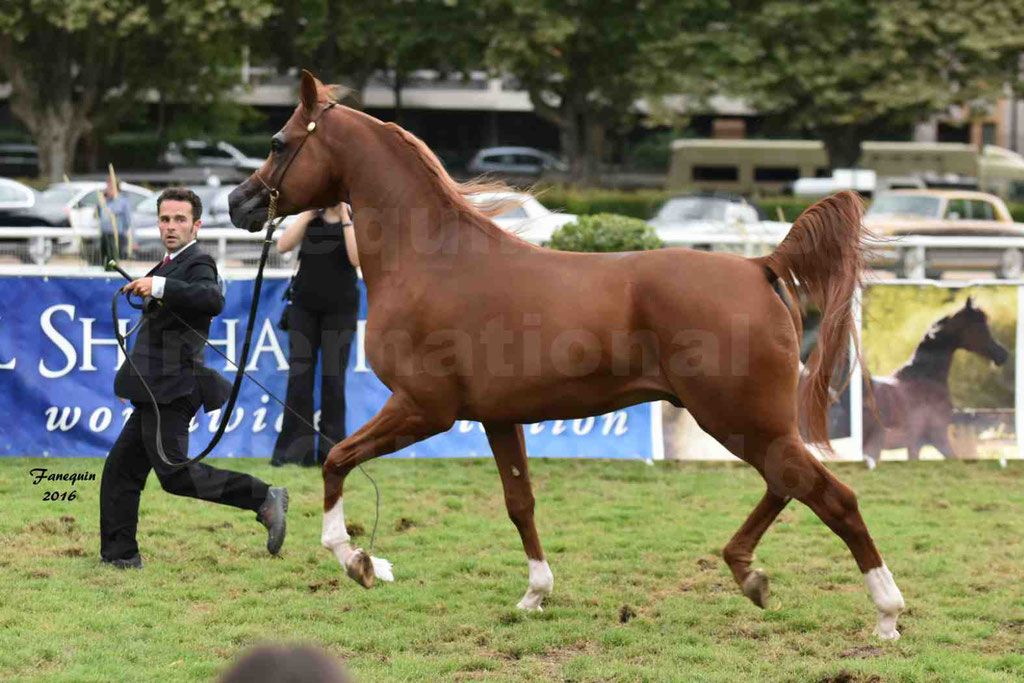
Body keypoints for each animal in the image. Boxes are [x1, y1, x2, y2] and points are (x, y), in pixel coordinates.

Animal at [230, 72, 905, 638]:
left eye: (279, 141)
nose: (240, 203)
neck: (432, 260)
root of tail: (760, 264)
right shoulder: (498, 418)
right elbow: (520, 503)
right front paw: (536, 593)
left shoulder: (425, 409)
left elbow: (336, 459)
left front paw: (357, 560)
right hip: (748, 422)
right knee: (788, 483)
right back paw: (752, 575)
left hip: (739, 418)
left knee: (827, 495)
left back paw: (884, 612)